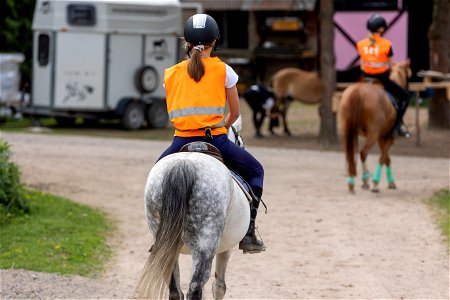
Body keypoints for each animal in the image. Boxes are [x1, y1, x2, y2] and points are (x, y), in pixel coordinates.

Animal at [338, 60, 412, 192]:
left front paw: (390, 182)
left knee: (350, 153)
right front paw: (376, 182)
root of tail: (358, 91)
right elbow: (383, 158)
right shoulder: (388, 137)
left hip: (348, 131)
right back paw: (366, 179)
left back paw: (351, 181)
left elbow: (386, 158)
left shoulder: (381, 137)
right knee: (363, 153)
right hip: (372, 134)